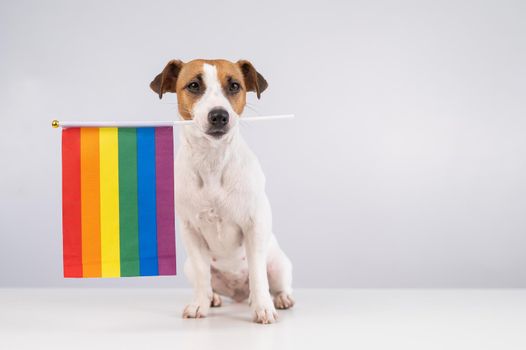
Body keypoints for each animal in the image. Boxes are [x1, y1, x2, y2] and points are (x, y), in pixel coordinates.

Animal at [151, 58, 294, 324]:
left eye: (235, 85)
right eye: (194, 85)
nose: (219, 115)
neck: (212, 161)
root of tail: (238, 293)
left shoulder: (254, 225)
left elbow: (258, 274)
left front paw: (263, 307)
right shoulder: (190, 230)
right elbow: (202, 274)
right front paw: (200, 304)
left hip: (279, 264)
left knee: (276, 283)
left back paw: (279, 299)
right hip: (189, 266)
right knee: (207, 281)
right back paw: (213, 298)